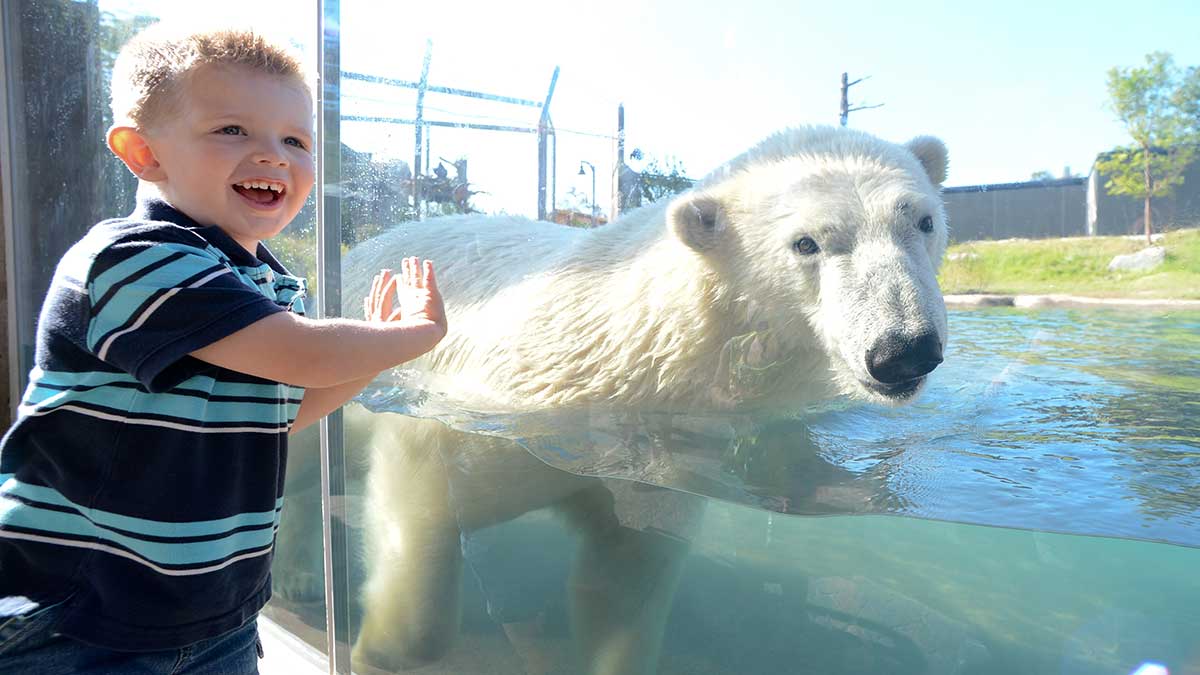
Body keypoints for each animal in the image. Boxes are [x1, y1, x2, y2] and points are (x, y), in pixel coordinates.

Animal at [276, 123, 950, 667]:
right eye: (807, 243)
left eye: (922, 220)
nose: (904, 348)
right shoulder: (478, 409)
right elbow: (420, 505)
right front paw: (384, 649)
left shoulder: (661, 467)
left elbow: (622, 582)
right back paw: (299, 575)